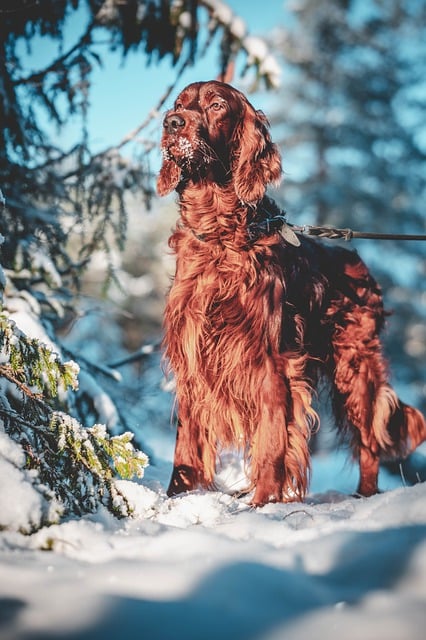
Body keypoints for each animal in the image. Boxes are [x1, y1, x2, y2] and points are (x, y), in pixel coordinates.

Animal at [157, 79, 426, 504]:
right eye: (178, 104)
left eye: (217, 106)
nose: (172, 123)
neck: (221, 235)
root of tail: (357, 260)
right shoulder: (193, 356)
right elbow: (187, 442)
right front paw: (176, 497)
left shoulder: (272, 358)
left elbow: (271, 440)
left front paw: (264, 502)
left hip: (355, 366)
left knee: (368, 442)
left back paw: (365, 496)